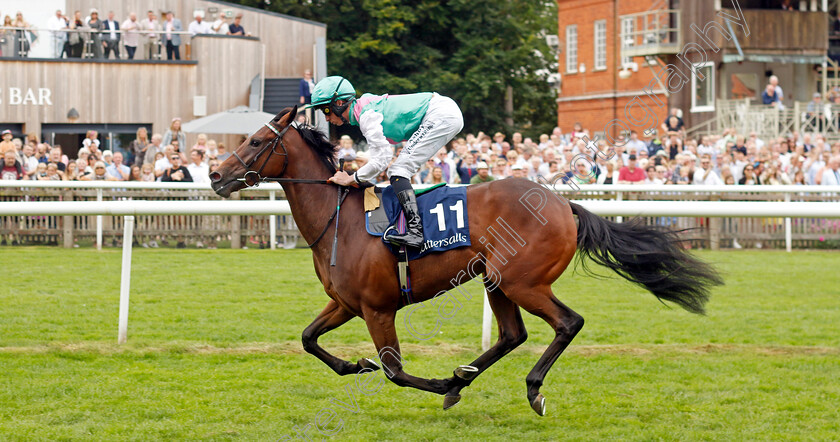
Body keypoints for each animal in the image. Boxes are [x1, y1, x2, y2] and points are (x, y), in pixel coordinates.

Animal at [208, 106, 720, 414]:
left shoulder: (377, 308)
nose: (215, 174)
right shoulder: (346, 303)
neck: (340, 220)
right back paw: (464, 377)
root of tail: (562, 204)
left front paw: (433, 382)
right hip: (496, 280)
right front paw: (357, 366)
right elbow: (308, 339)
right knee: (513, 335)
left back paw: (526, 387)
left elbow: (395, 371)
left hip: (522, 281)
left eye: (256, 142)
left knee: (567, 323)